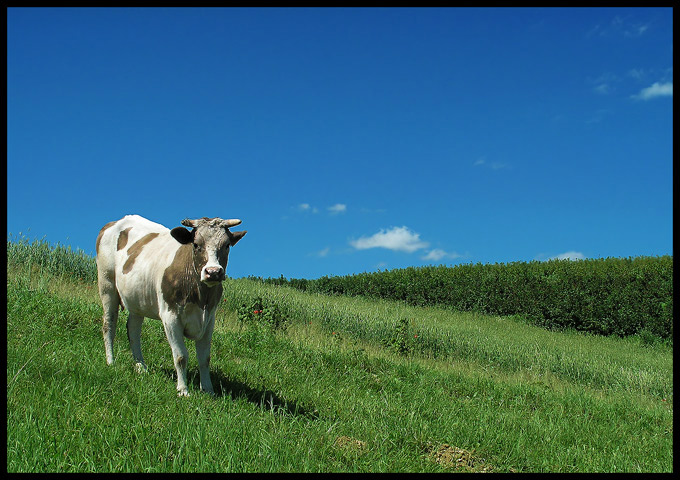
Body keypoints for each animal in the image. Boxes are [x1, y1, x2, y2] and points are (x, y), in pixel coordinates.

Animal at [94, 216, 246, 396]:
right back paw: (111, 361)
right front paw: (183, 390)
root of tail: (116, 222)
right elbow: (181, 356)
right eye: (196, 244)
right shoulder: (170, 317)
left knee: (133, 330)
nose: (213, 272)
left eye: (226, 245)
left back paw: (140, 366)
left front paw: (208, 390)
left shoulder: (209, 320)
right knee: (108, 325)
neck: (200, 296)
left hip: (137, 299)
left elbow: (205, 358)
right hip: (106, 284)